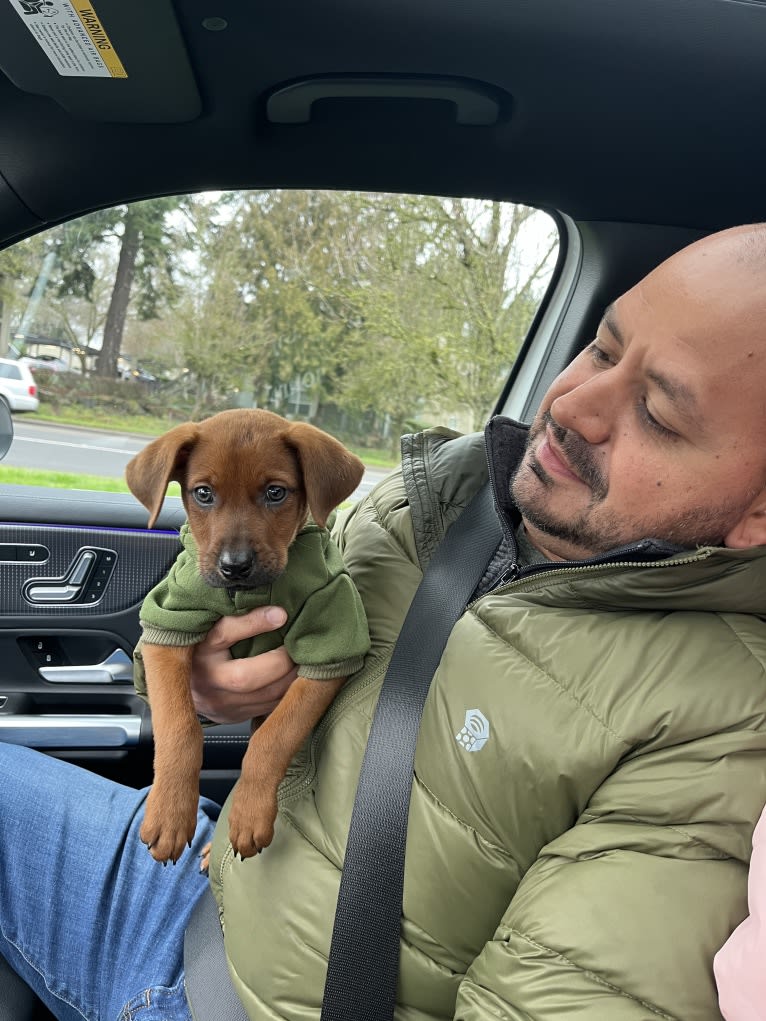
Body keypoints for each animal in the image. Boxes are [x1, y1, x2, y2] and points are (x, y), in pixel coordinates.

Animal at [126, 406, 371, 861]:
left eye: (275, 493)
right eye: (204, 494)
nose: (234, 566)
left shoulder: (329, 651)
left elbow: (271, 740)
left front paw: (249, 814)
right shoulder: (167, 626)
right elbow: (179, 728)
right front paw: (169, 813)